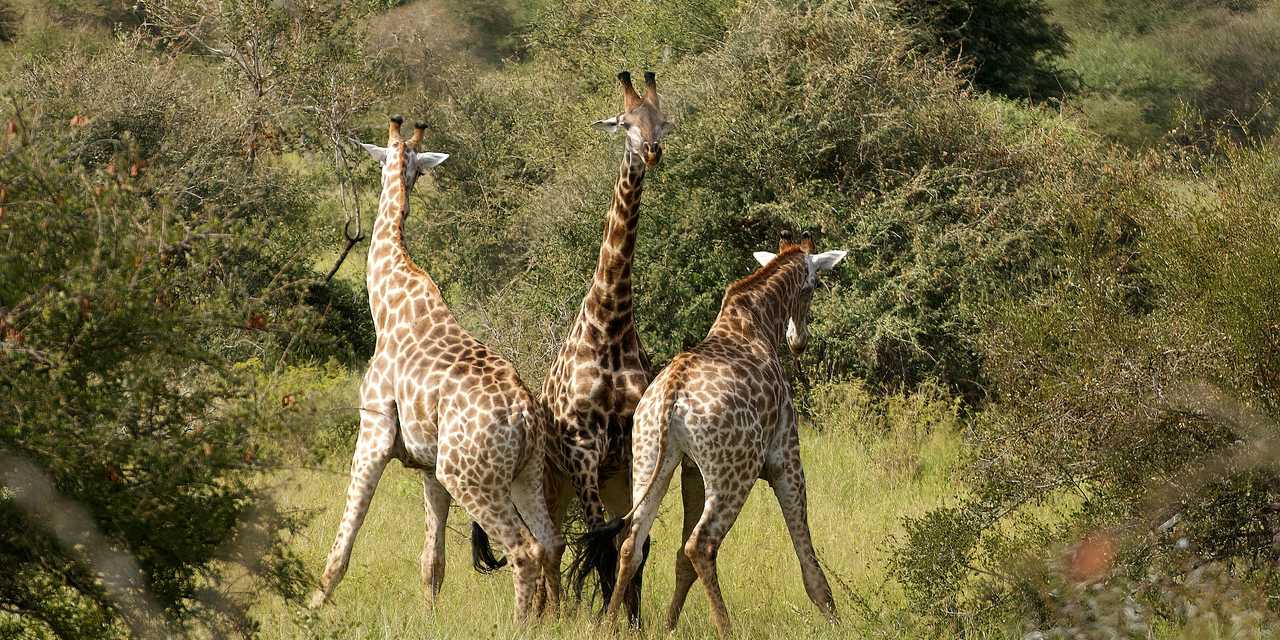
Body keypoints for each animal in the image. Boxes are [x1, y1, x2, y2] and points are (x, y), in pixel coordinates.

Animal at [307, 116, 563, 624]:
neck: (387, 301)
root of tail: (525, 417)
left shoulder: (374, 432)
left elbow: (345, 539)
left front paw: (314, 602)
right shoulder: (427, 465)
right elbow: (433, 559)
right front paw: (428, 616)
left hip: (468, 475)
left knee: (523, 550)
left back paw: (521, 624)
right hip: (522, 472)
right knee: (551, 542)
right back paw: (559, 618)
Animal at [593, 230, 844, 634]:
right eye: (813, 287)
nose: (799, 341)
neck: (757, 322)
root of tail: (671, 393)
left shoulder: (692, 471)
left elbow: (678, 560)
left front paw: (669, 626)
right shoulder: (786, 457)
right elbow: (805, 549)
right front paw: (833, 617)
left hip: (650, 459)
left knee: (632, 542)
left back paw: (607, 626)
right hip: (734, 473)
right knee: (701, 545)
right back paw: (727, 629)